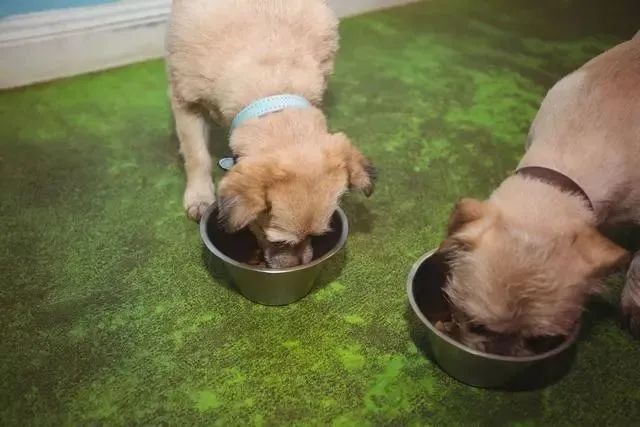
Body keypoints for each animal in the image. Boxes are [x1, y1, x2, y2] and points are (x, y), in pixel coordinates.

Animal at [166, 0, 375, 268]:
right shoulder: (185, 102)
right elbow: (197, 156)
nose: (299, 265)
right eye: (279, 242)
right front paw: (199, 196)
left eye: (316, 236)